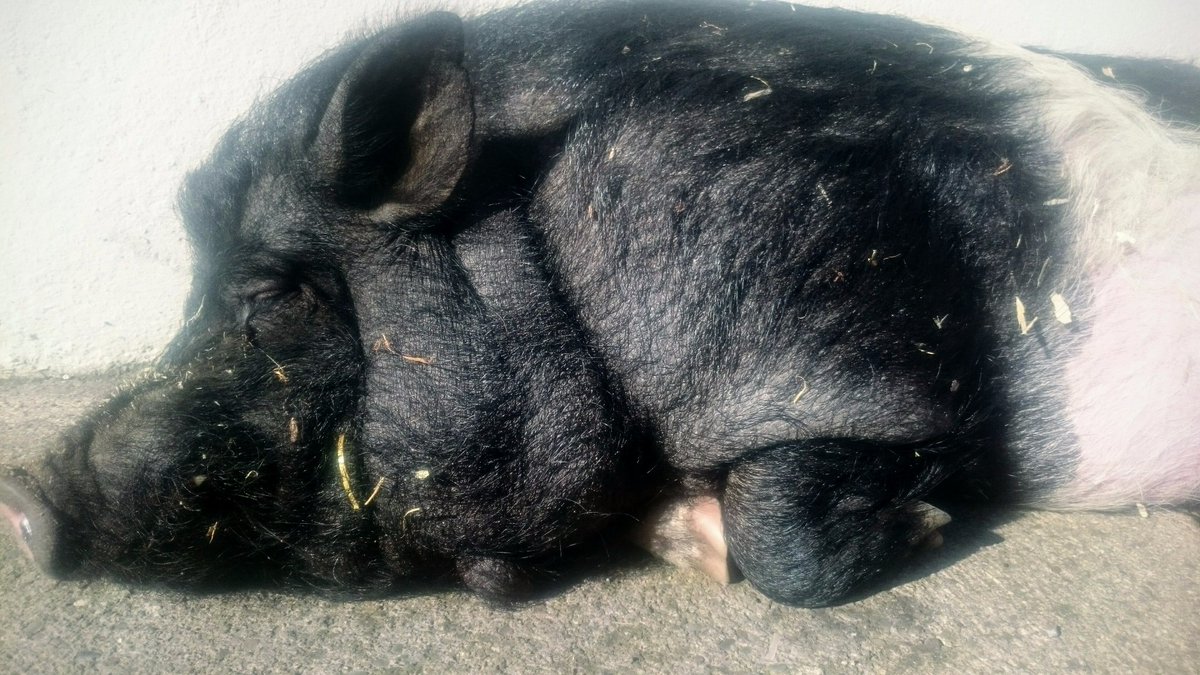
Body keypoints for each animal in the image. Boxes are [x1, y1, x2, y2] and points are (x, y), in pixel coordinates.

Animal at [2, 0, 1198, 607]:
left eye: (266, 295)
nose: (20, 495)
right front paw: (688, 537)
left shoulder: (860, 348)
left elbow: (787, 539)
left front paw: (925, 521)